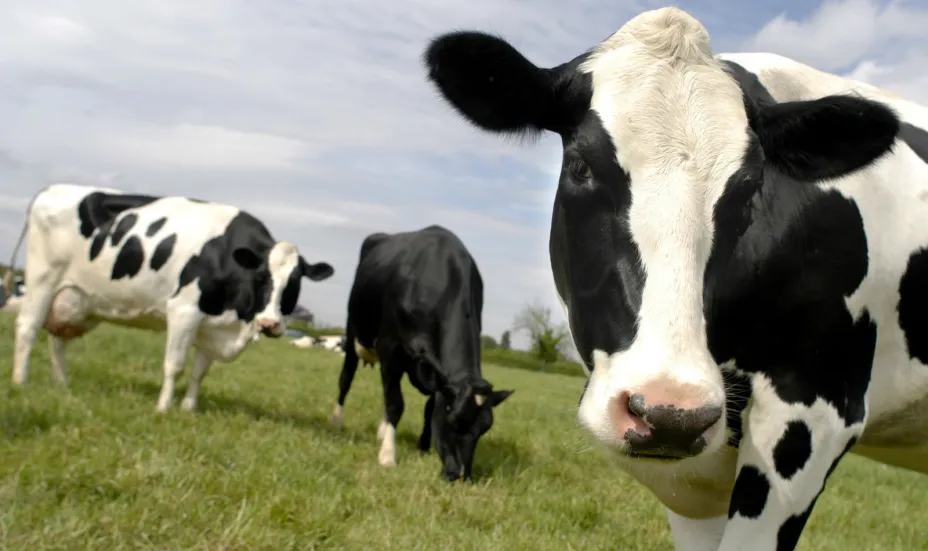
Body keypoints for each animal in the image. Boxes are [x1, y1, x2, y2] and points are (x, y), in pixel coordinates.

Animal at [4, 183, 335, 412]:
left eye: (295, 282)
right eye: (261, 277)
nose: (269, 324)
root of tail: (52, 189)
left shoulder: (213, 326)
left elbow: (200, 372)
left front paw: (189, 408)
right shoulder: (184, 310)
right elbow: (174, 365)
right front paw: (163, 408)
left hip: (75, 299)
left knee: (57, 338)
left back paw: (62, 384)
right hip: (43, 278)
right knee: (28, 326)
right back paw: (21, 380)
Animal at [330, 225, 514, 482]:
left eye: (485, 428)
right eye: (453, 421)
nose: (461, 475)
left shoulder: (435, 373)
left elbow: (428, 408)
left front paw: (423, 446)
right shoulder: (390, 349)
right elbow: (396, 404)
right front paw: (388, 455)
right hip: (352, 332)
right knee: (346, 379)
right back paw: (337, 422)